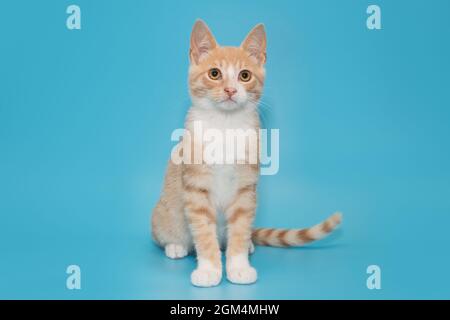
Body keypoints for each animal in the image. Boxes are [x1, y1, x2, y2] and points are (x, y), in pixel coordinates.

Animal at [151, 19, 342, 288]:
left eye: (244, 75)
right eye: (214, 73)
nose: (231, 90)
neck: (225, 125)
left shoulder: (245, 190)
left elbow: (240, 229)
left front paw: (238, 266)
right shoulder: (196, 188)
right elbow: (203, 232)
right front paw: (209, 270)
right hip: (165, 215)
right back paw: (175, 246)